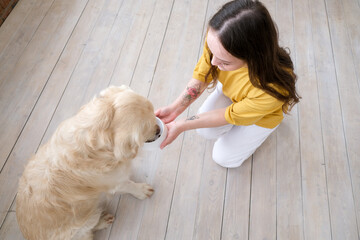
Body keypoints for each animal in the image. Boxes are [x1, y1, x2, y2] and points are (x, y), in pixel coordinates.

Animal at [16, 85, 160, 239]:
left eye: (153, 111)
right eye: (147, 129)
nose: (159, 130)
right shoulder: (114, 183)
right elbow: (129, 185)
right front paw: (142, 190)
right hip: (81, 224)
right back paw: (103, 220)